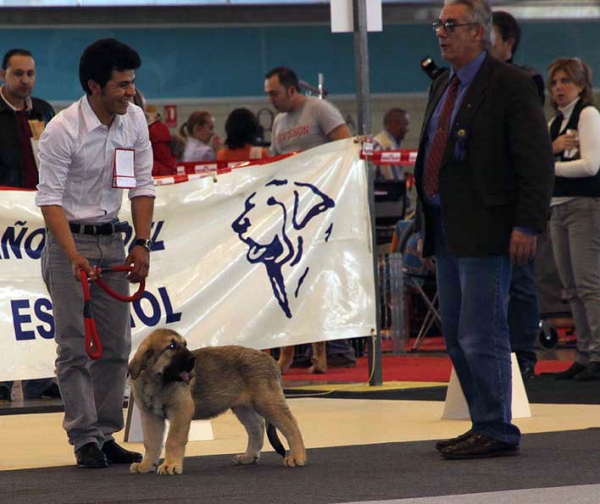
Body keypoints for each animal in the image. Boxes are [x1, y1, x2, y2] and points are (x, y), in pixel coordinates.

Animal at [129, 328, 308, 474]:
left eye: (185, 345)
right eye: (171, 346)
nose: (193, 359)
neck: (156, 381)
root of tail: (271, 360)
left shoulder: (181, 411)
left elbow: (173, 439)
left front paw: (170, 465)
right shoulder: (150, 417)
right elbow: (151, 442)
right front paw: (146, 464)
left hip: (267, 402)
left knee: (291, 426)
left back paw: (298, 456)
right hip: (243, 407)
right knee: (257, 428)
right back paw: (249, 456)